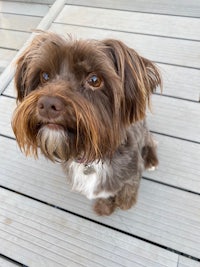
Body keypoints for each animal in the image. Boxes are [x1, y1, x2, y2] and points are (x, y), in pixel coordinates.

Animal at [11, 31, 162, 217]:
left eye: (94, 80)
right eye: (44, 76)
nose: (47, 104)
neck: (90, 155)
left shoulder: (132, 174)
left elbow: (128, 189)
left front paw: (125, 203)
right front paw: (105, 207)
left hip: (143, 131)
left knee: (151, 141)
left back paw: (152, 160)